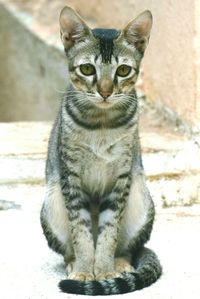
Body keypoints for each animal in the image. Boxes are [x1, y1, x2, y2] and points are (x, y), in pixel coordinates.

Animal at [39, 5, 162, 296]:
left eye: (123, 70)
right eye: (87, 68)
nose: (105, 91)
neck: (101, 125)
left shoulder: (121, 179)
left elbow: (109, 233)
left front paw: (104, 271)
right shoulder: (70, 178)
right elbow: (81, 233)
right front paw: (85, 270)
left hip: (141, 199)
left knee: (130, 248)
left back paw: (121, 266)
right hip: (51, 205)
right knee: (67, 250)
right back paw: (75, 264)